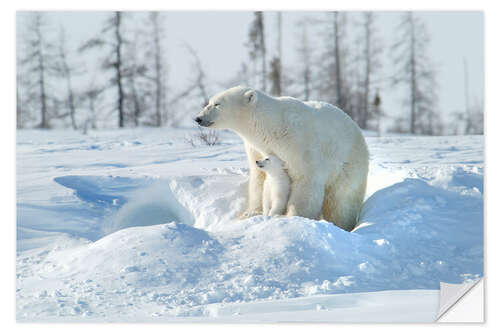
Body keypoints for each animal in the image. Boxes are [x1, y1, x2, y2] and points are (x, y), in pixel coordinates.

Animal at [194, 85, 368, 231]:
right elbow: (258, 179)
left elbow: (305, 181)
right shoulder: (256, 148)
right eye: (209, 102)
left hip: (348, 165)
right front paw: (250, 213)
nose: (198, 118)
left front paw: (291, 217)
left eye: (217, 104)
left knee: (341, 201)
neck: (272, 128)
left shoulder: (299, 144)